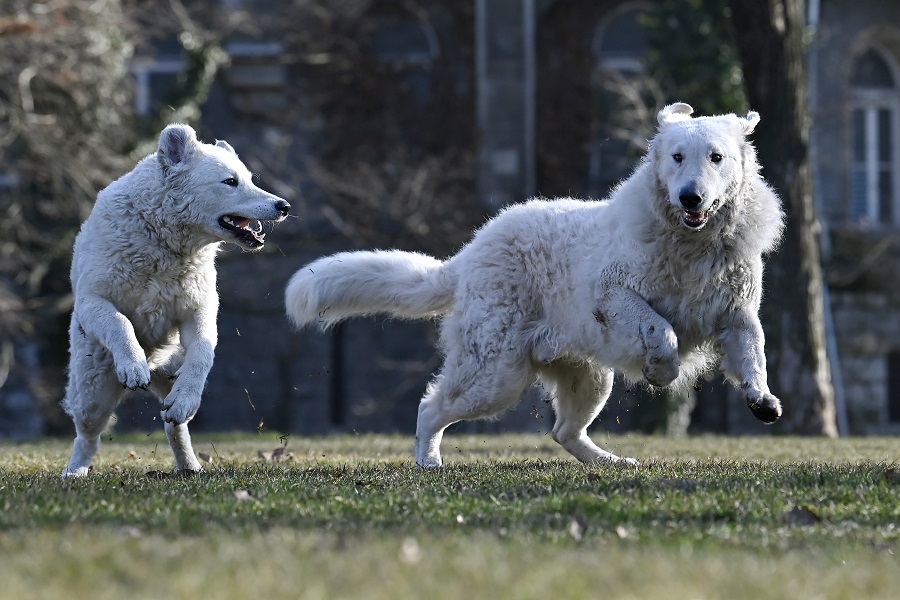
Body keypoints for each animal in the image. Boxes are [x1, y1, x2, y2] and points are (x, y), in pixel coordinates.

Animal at [62, 123, 288, 478]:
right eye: (230, 182)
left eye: (251, 180)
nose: (284, 206)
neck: (164, 241)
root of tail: (157, 363)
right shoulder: (93, 300)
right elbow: (120, 322)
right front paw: (133, 366)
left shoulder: (199, 311)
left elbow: (202, 354)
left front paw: (183, 398)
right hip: (92, 391)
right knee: (87, 435)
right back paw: (75, 471)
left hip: (168, 377)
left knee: (174, 425)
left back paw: (189, 464)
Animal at [284, 105, 784, 466]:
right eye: (677, 157)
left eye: (716, 157)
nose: (690, 198)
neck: (692, 246)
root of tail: (469, 255)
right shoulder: (614, 294)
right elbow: (661, 329)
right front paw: (663, 371)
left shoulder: (736, 314)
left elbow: (755, 353)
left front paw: (762, 399)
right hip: (494, 375)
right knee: (432, 408)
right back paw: (429, 462)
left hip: (586, 375)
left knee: (564, 432)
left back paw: (610, 463)